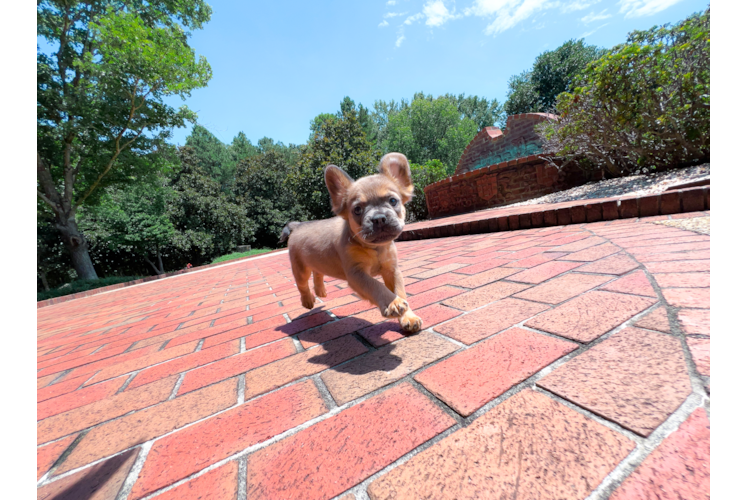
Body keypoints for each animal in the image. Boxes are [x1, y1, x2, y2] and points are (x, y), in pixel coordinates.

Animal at [280, 152, 420, 332]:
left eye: (393, 201)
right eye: (357, 210)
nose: (379, 218)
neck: (375, 248)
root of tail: (297, 225)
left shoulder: (392, 270)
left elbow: (400, 291)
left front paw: (408, 317)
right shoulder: (357, 274)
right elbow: (375, 285)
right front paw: (393, 303)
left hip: (317, 261)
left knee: (318, 272)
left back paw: (320, 290)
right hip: (300, 268)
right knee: (302, 284)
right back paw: (308, 300)